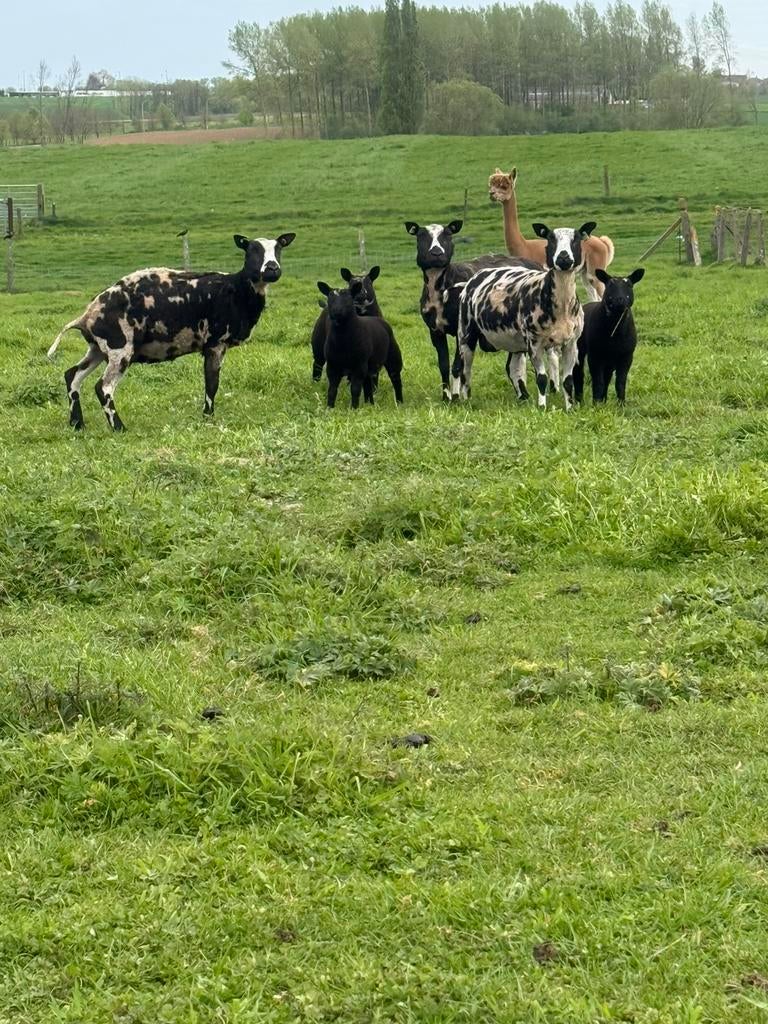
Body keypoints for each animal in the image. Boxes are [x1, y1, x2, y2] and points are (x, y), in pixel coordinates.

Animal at [47, 233, 295, 431]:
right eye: (252, 250)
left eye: (279, 249)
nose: (272, 269)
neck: (237, 289)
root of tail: (87, 315)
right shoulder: (215, 343)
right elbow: (212, 383)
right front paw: (208, 418)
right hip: (120, 349)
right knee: (103, 387)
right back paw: (118, 427)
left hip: (98, 349)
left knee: (72, 376)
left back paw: (77, 424)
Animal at [453, 222, 597, 409]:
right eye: (550, 238)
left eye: (577, 239)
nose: (563, 258)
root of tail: (475, 277)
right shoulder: (534, 343)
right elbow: (542, 378)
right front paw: (542, 407)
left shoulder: (571, 344)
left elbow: (568, 381)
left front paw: (570, 408)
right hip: (466, 333)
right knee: (465, 370)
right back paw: (464, 399)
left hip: (514, 341)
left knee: (513, 368)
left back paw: (523, 397)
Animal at [488, 167, 615, 301]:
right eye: (490, 184)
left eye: (504, 186)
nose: (491, 194)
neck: (524, 245)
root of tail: (602, 242)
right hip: (586, 273)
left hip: (595, 271)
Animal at [573, 268, 645, 405]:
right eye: (609, 285)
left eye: (629, 285)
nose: (620, 300)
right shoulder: (595, 355)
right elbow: (598, 382)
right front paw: (596, 403)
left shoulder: (626, 356)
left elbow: (620, 383)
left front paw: (621, 404)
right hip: (579, 349)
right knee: (578, 374)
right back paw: (579, 401)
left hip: (610, 358)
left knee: (607, 377)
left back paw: (604, 400)